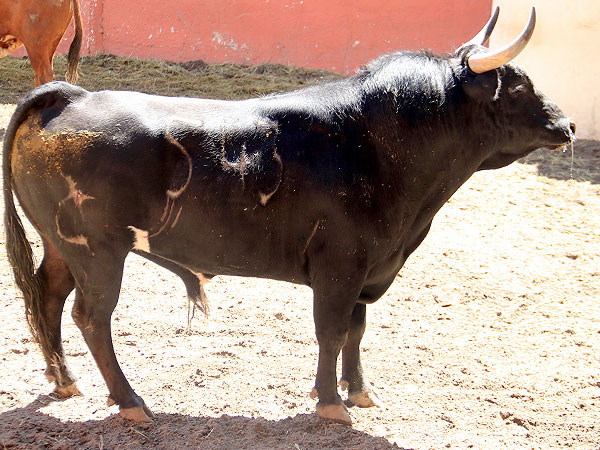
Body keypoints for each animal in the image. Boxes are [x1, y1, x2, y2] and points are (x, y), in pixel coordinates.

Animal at [3, 10, 576, 426]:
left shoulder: (368, 269)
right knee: (91, 317)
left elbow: (356, 331)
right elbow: (332, 331)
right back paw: (130, 403)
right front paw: (331, 403)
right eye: (518, 87)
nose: (568, 125)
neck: (379, 146)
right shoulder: (340, 266)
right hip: (98, 252)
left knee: (48, 299)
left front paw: (359, 391)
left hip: (63, 247)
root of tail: (71, 94)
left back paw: (64, 380)